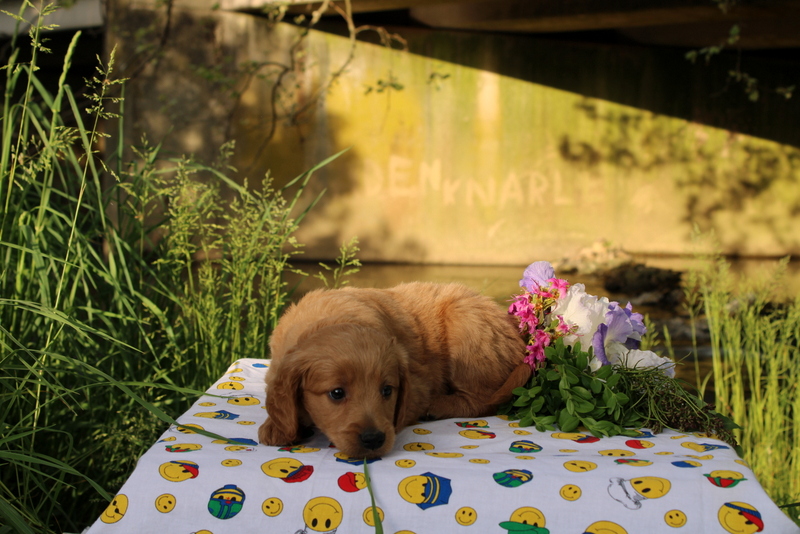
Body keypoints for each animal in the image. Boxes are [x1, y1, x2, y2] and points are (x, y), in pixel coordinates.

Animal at [258, 282, 532, 458]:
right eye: (336, 393)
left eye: (387, 391)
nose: (373, 440)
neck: (331, 320)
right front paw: (276, 426)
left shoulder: (418, 386)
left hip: (466, 327)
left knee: (482, 400)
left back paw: (438, 405)